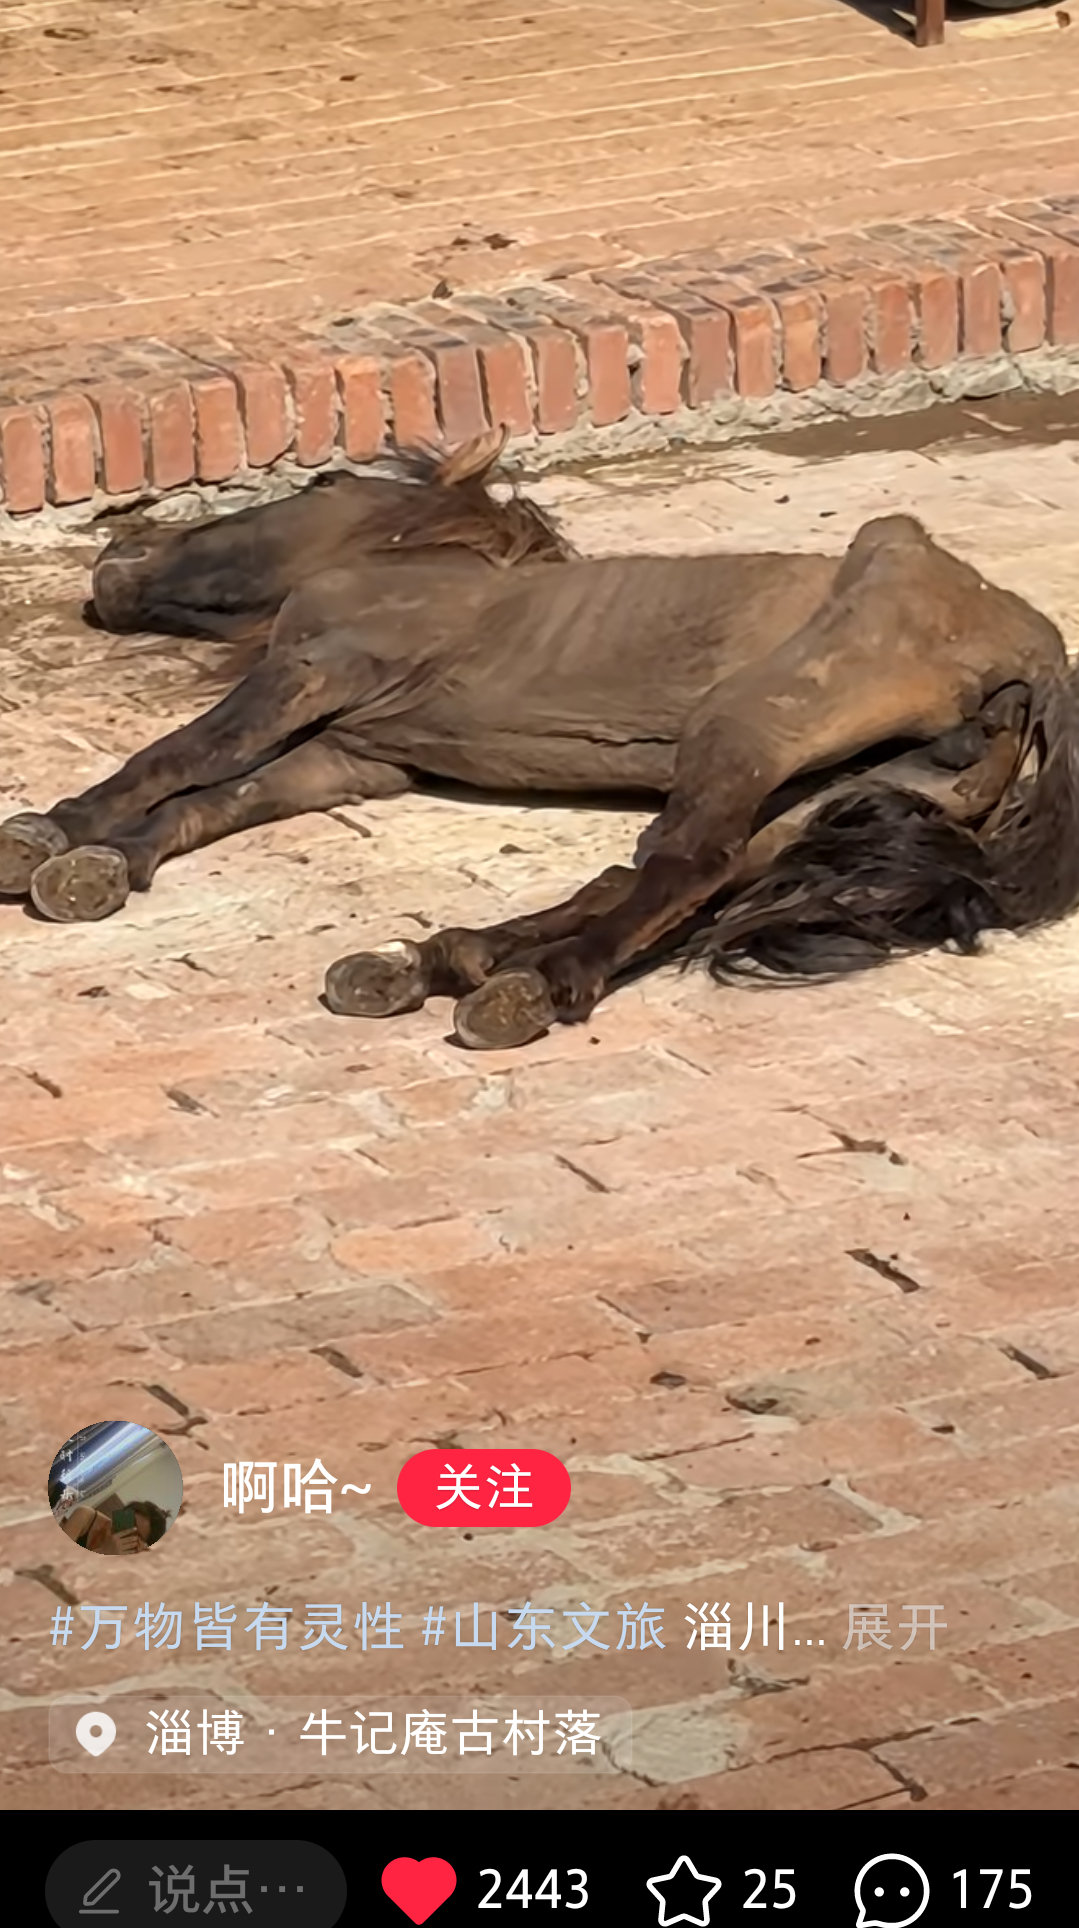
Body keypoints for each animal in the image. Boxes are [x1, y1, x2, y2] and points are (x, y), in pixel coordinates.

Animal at [3, 434, 1078, 1053]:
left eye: (323, 480)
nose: (118, 555)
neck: (431, 574)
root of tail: (1030, 645)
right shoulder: (350, 754)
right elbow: (207, 799)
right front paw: (104, 863)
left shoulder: (313, 676)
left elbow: (179, 758)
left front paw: (51, 836)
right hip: (821, 795)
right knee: (670, 885)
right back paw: (441, 961)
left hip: (748, 735)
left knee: (685, 868)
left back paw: (522, 985)